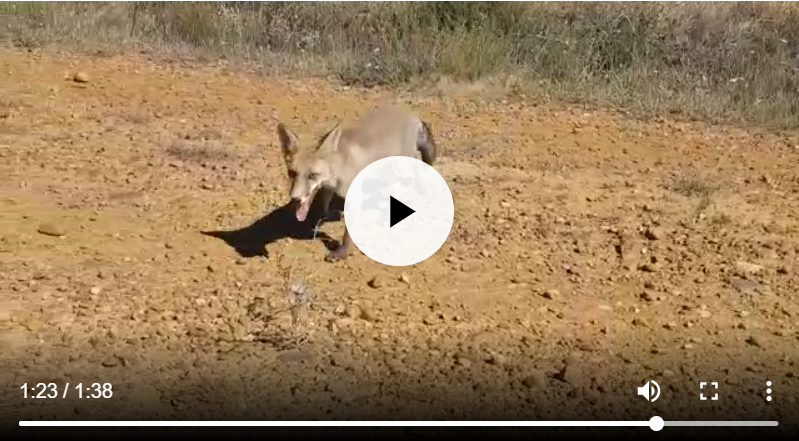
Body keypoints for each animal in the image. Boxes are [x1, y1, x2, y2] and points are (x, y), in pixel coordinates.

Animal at [276, 103, 438, 262]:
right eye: (292, 173)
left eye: (312, 175)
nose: (295, 198)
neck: (340, 165)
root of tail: (412, 114)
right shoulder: (328, 189)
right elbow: (325, 203)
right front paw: (322, 218)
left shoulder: (354, 197)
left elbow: (348, 233)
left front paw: (342, 252)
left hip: (401, 164)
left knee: (417, 160)